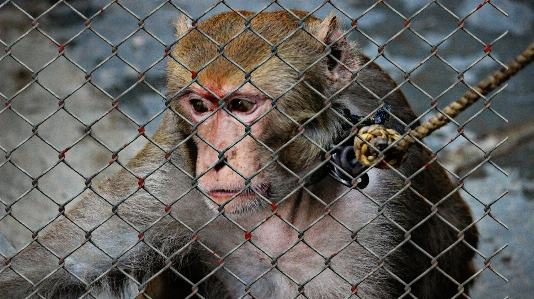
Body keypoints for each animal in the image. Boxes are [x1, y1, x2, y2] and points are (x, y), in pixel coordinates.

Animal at [0, 9, 478, 299]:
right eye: (201, 105)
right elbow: (52, 268)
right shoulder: (167, 178)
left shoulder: (377, 209)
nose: (217, 159)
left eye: (242, 106)